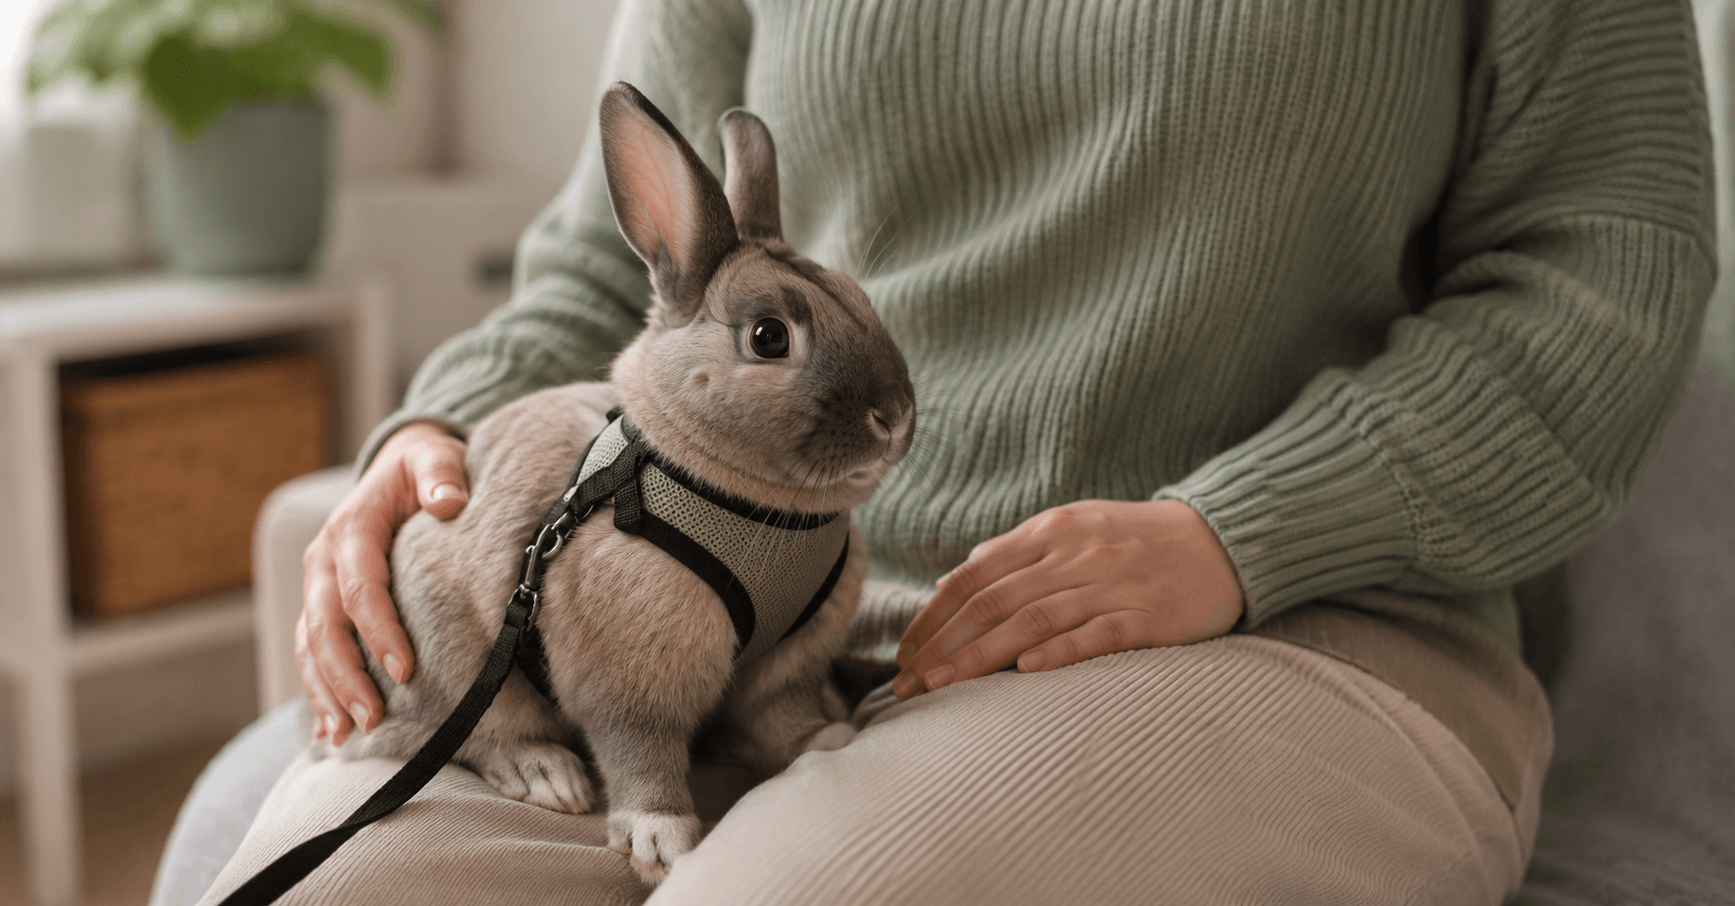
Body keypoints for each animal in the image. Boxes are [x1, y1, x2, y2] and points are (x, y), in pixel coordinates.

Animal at [306, 82, 916, 886]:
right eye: (768, 337)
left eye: (861, 300)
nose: (894, 416)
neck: (752, 508)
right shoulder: (625, 682)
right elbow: (639, 753)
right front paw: (662, 841)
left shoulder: (787, 665)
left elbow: (781, 715)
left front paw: (824, 741)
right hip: (450, 661)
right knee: (460, 736)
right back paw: (547, 774)